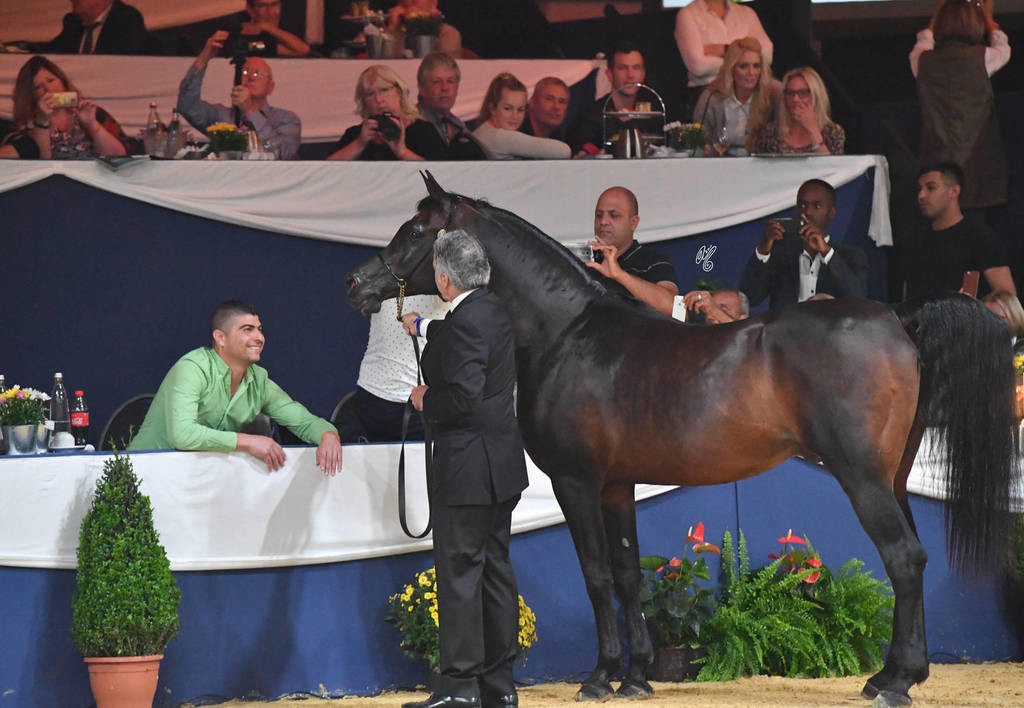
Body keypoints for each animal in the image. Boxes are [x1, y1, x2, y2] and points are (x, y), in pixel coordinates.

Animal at [344, 172, 1018, 707]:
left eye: (415, 228)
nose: (356, 283)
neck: (569, 335)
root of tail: (897, 316)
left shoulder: (576, 481)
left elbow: (595, 575)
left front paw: (599, 678)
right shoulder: (617, 485)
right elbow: (626, 574)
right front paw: (637, 676)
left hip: (861, 477)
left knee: (904, 558)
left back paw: (895, 685)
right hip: (892, 476)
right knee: (912, 560)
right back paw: (892, 675)